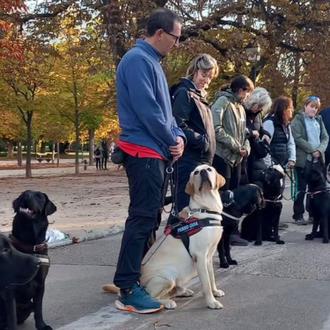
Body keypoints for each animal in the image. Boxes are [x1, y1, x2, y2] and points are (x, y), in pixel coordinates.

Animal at [0, 191, 56, 330]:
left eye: (39, 196)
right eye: (23, 194)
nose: (27, 196)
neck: (30, 244)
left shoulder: (41, 284)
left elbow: (38, 309)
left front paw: (42, 325)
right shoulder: (9, 289)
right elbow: (11, 315)